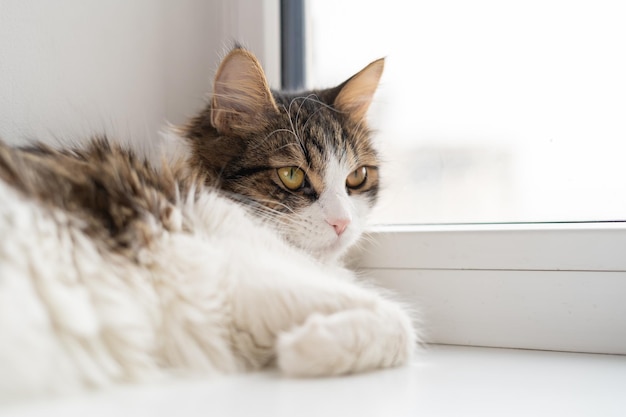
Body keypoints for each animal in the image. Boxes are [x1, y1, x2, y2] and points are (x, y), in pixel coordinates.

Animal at [1, 45, 420, 400]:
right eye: (291, 175)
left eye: (357, 177)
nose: (342, 223)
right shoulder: (242, 274)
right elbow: (401, 322)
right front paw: (304, 348)